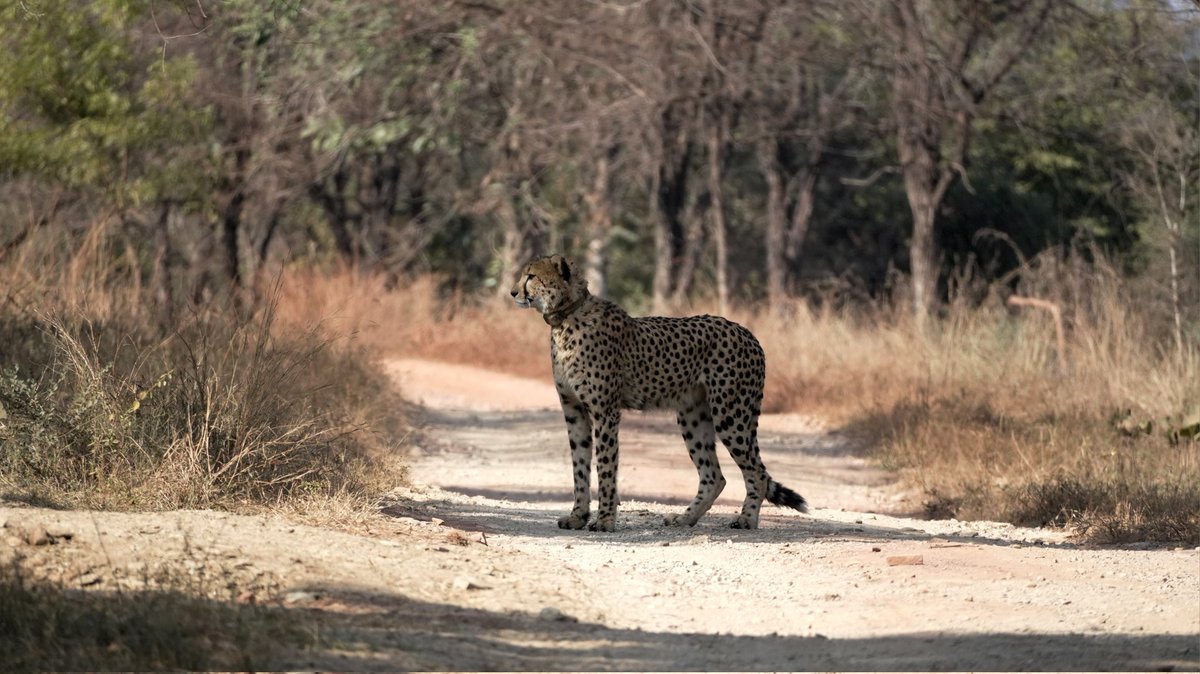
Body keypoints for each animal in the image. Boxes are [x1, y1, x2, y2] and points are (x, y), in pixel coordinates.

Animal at [510, 253, 809, 532]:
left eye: (531, 276)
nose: (513, 292)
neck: (566, 318)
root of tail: (748, 333)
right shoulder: (574, 410)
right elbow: (579, 467)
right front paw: (577, 517)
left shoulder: (605, 412)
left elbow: (605, 466)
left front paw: (605, 520)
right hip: (692, 416)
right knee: (715, 476)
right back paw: (685, 518)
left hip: (731, 414)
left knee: (757, 472)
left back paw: (746, 520)